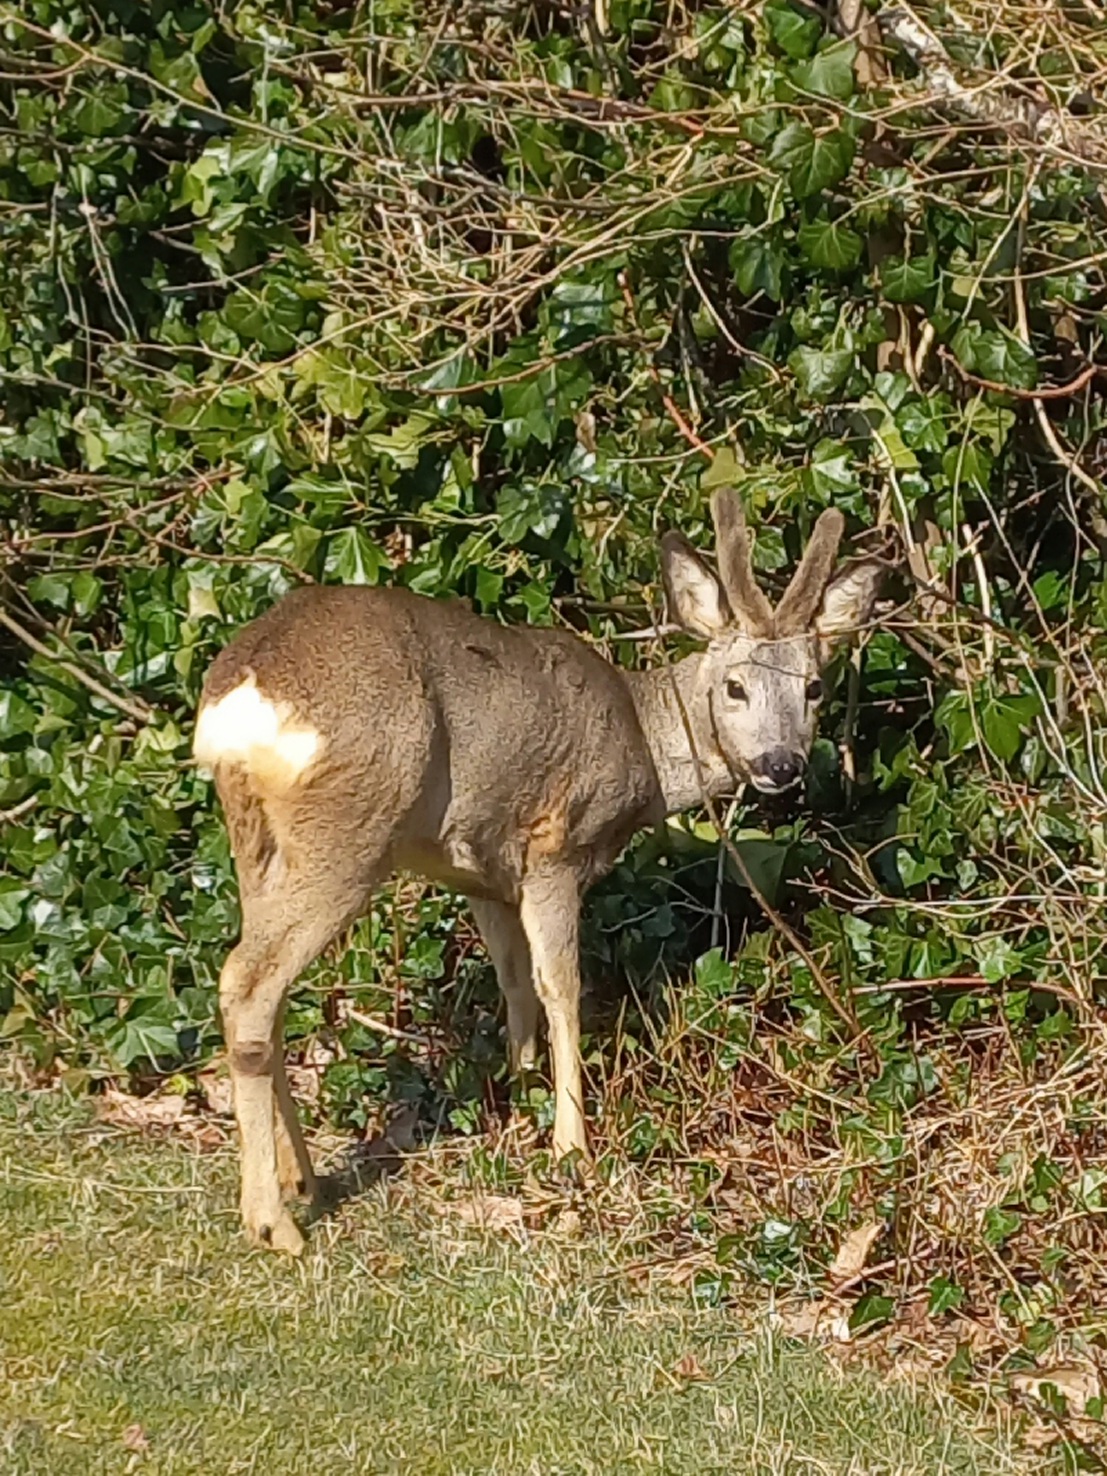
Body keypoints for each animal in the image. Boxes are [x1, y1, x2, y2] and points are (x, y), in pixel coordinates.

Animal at [193, 490, 885, 1251]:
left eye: (815, 687)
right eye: (734, 687)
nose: (779, 764)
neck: (643, 746)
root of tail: (242, 696)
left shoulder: (482, 874)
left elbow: (515, 983)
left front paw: (520, 1089)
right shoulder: (553, 849)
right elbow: (563, 987)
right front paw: (569, 1143)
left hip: (256, 840)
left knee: (265, 989)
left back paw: (303, 1179)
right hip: (348, 828)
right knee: (248, 982)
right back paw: (274, 1221)